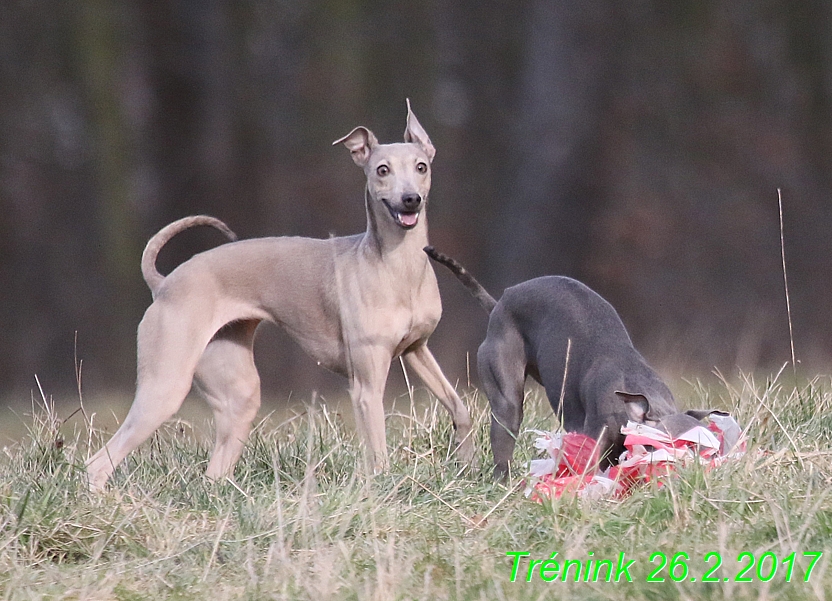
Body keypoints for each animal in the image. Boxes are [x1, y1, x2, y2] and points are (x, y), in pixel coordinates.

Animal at [86, 101, 474, 490]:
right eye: (382, 170)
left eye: (421, 166)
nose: (411, 200)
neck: (396, 267)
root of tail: (163, 284)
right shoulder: (366, 385)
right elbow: (378, 453)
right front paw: (384, 487)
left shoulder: (416, 350)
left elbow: (460, 408)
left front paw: (465, 461)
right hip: (165, 386)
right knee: (98, 462)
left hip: (236, 393)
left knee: (214, 470)